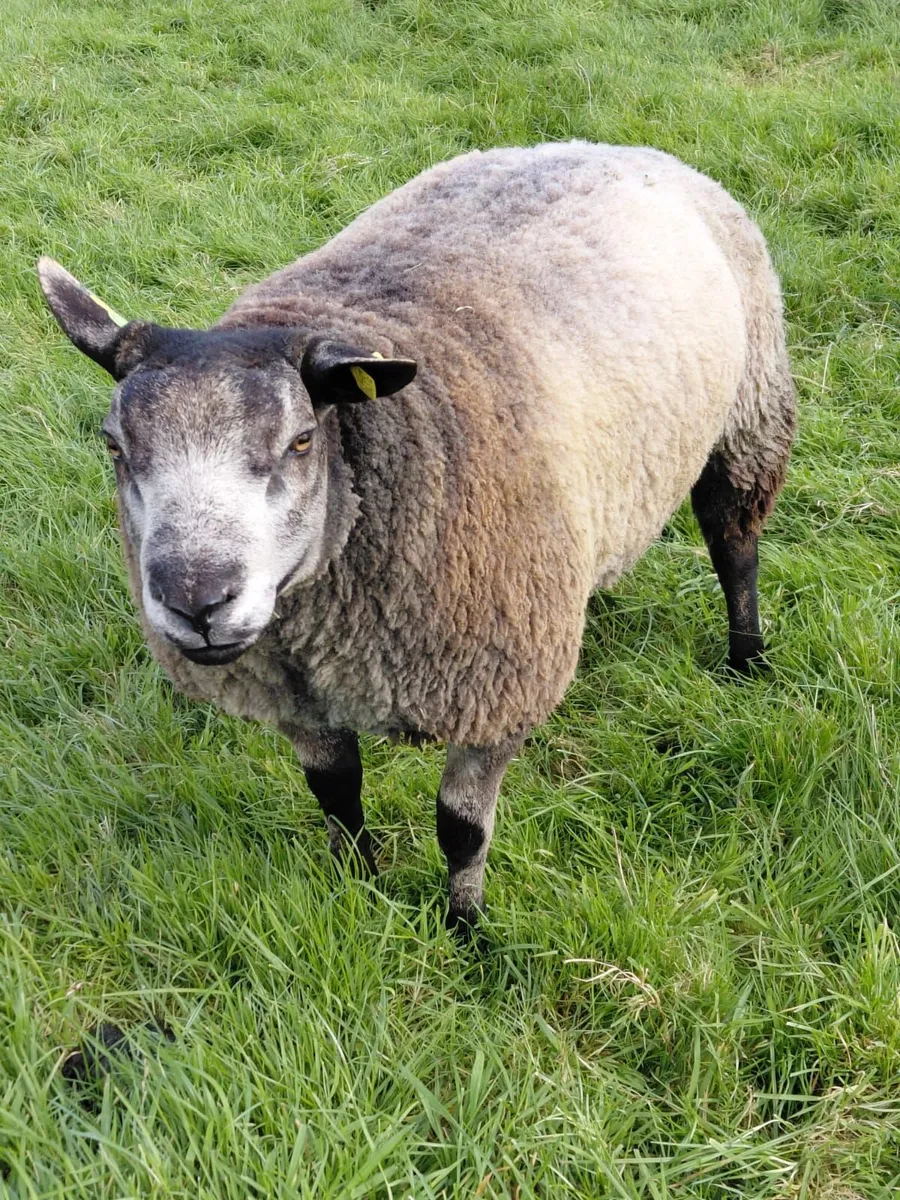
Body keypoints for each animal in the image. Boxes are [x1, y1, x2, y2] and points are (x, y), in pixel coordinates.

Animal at [38, 141, 796, 931]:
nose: (198, 600)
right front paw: (359, 888)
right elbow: (336, 797)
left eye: (301, 441)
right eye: (114, 446)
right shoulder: (299, 699)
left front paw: (466, 929)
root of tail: (601, 145)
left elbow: (460, 829)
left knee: (734, 544)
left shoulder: (496, 692)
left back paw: (746, 659)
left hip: (750, 409)